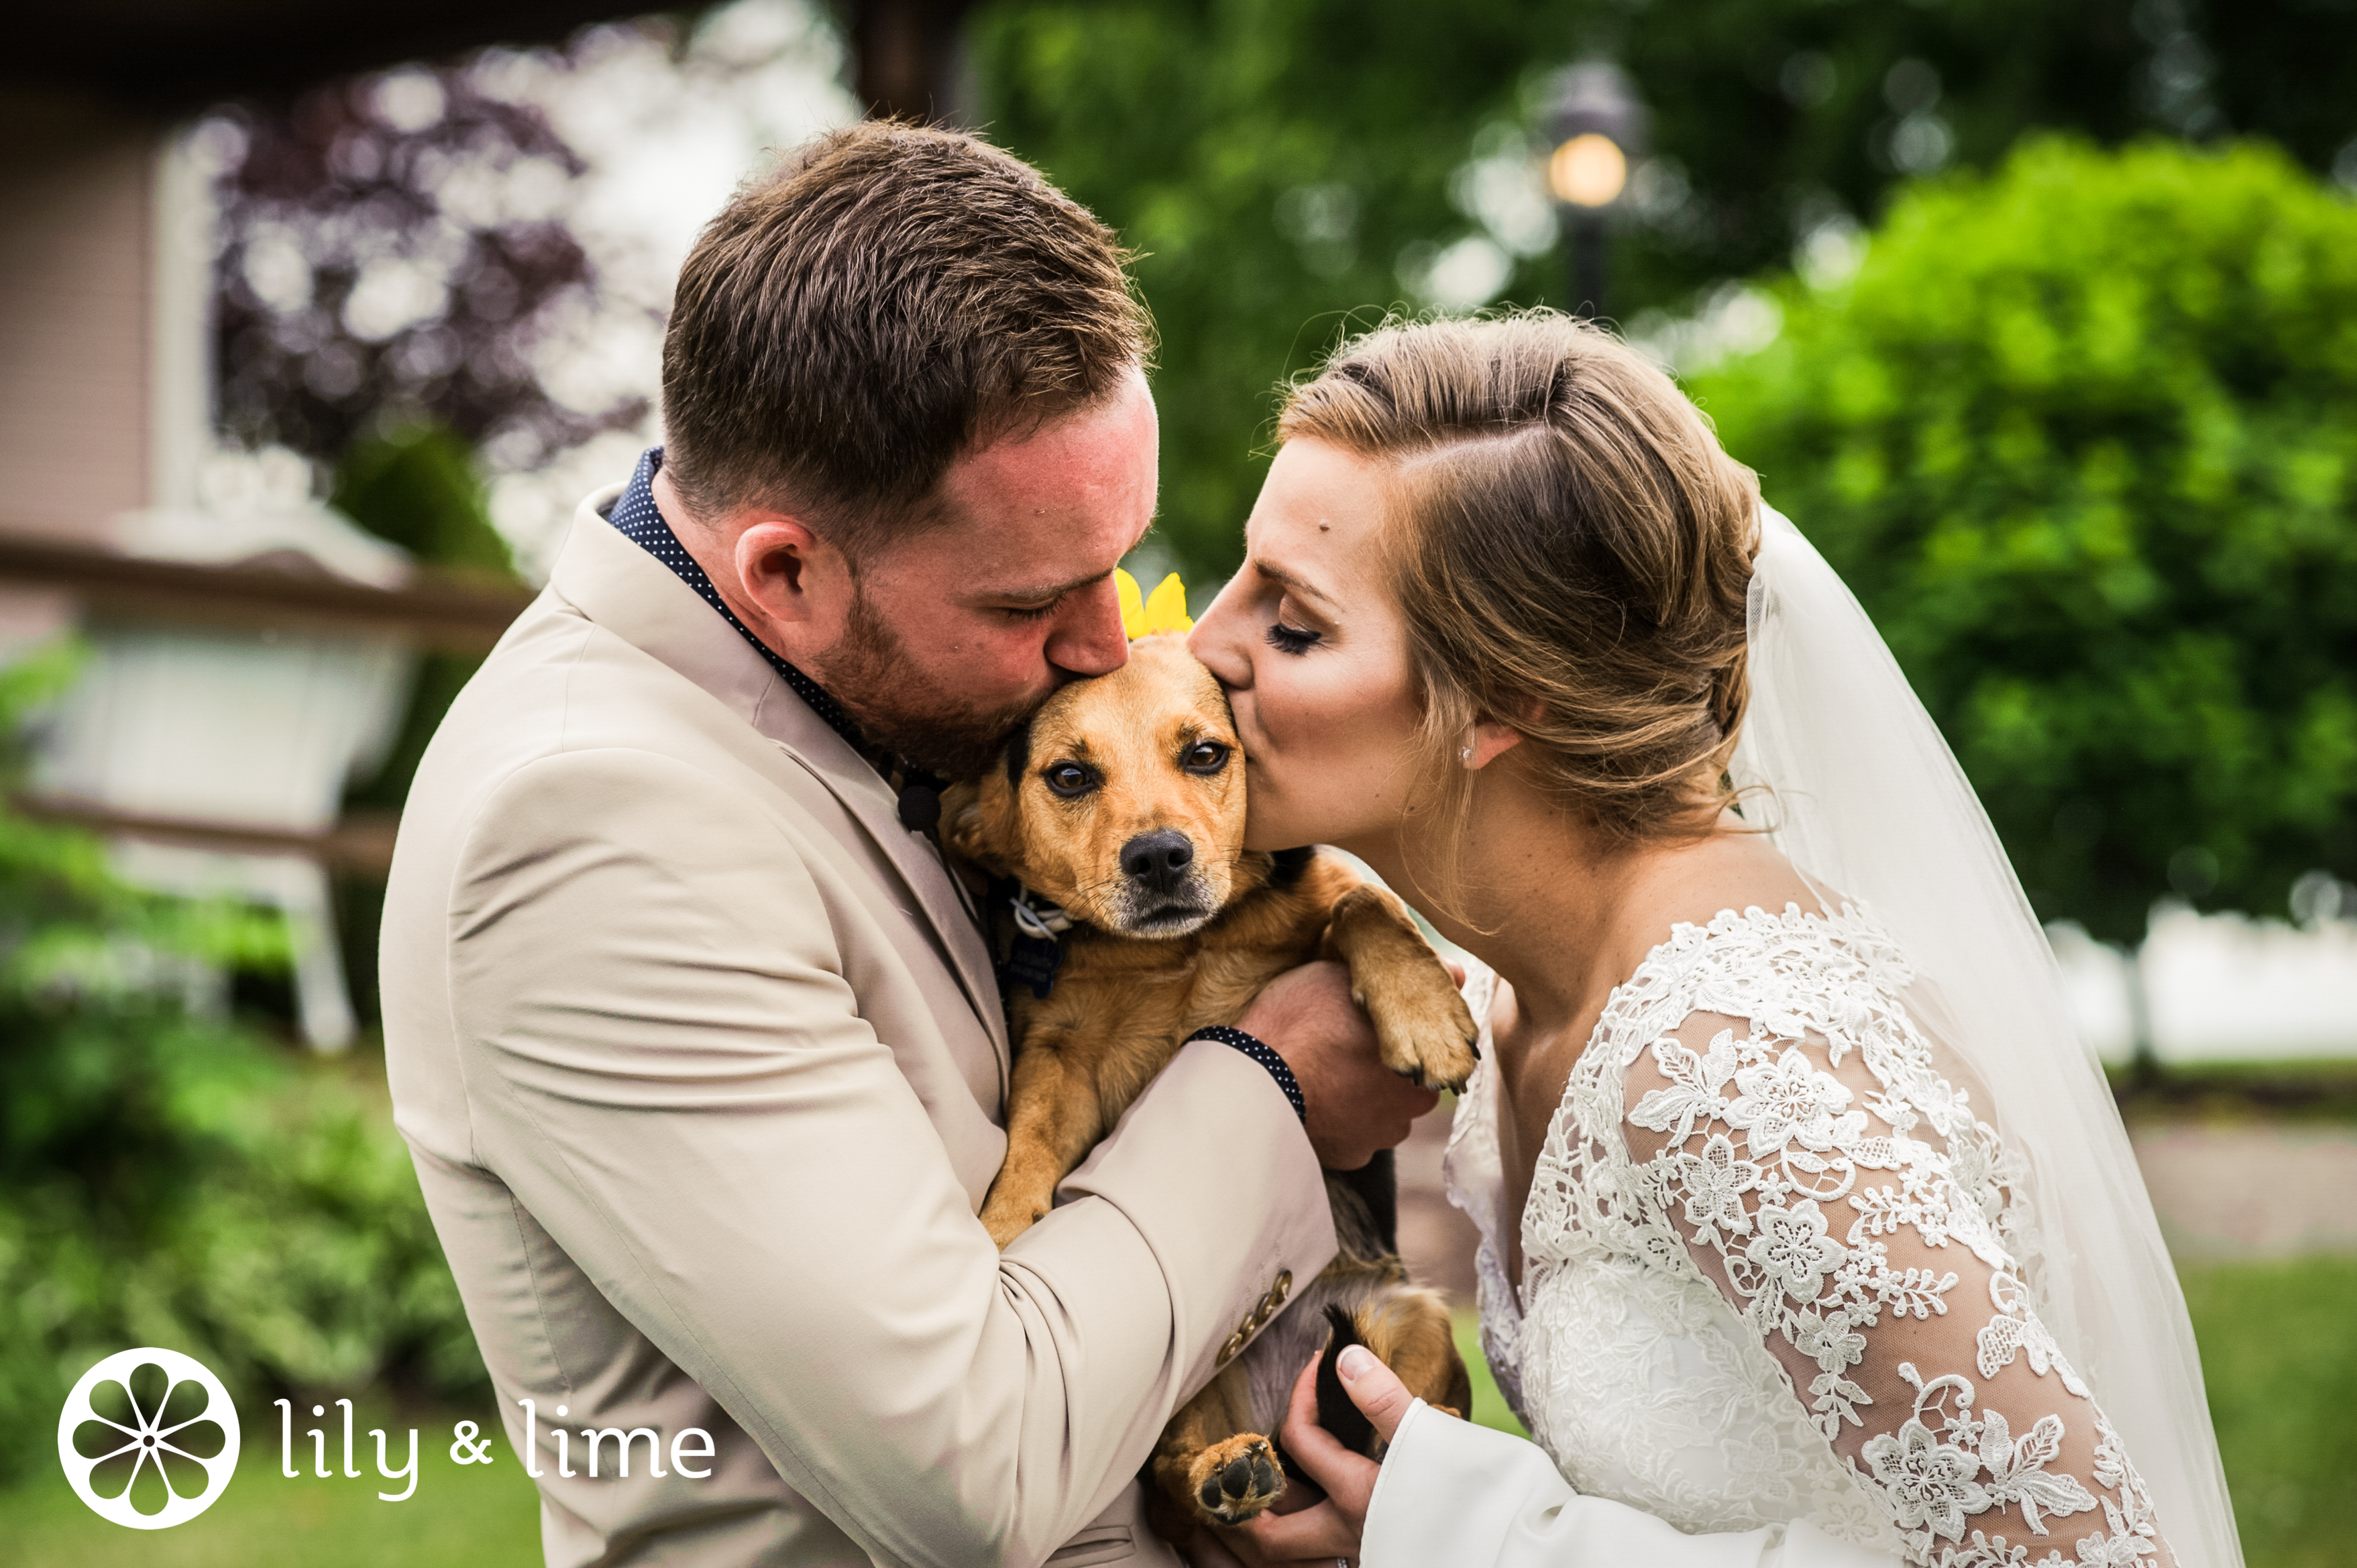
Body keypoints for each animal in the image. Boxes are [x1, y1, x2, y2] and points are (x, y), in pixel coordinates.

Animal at [938, 632, 1470, 1528]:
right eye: (1069, 775)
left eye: (1206, 754)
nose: (1158, 856)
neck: (1172, 950)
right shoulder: (1062, 1053)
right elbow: (1032, 1132)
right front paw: (1006, 1223)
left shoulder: (1321, 905)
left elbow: (1362, 903)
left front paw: (1424, 1012)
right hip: (1174, 1385)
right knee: (1168, 1467)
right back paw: (1226, 1472)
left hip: (1416, 1318)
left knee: (1423, 1410)